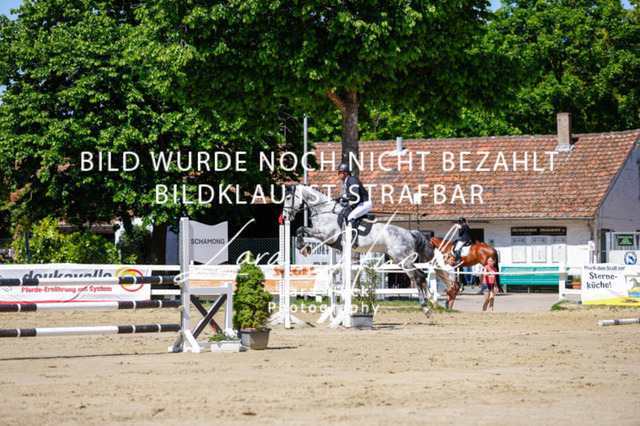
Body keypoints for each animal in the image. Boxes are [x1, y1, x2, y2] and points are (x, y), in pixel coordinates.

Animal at [282, 184, 450, 316]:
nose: (285, 216)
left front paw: (303, 247)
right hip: (398, 260)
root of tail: (409, 233)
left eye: (289, 197)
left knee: (418, 276)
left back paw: (426, 307)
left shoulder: (325, 235)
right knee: (419, 275)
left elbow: (300, 228)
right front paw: (304, 247)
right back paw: (432, 302)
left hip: (403, 259)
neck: (324, 210)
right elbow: (301, 229)